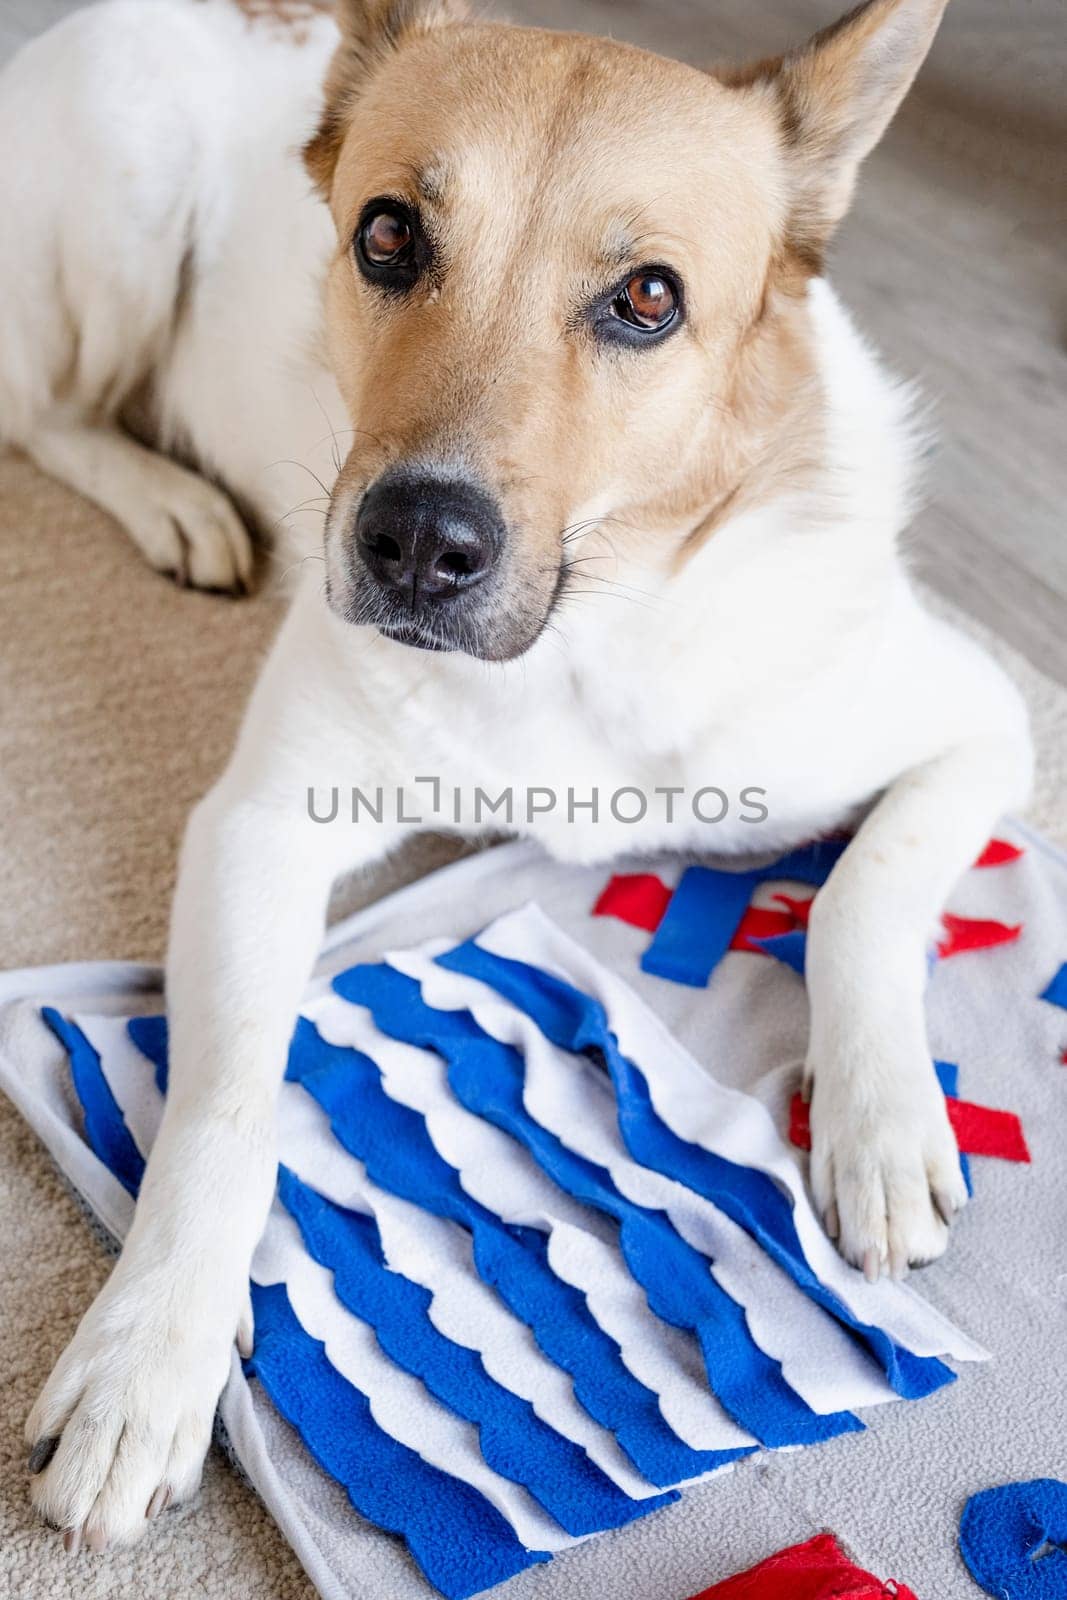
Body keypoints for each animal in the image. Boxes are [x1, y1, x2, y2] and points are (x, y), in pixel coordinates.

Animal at [2, 0, 1036, 1561]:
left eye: (648, 299)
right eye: (385, 236)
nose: (415, 544)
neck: (584, 636)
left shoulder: (987, 721)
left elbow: (860, 898)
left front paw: (876, 1122)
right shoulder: (257, 827)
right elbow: (227, 1106)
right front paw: (147, 1361)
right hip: (121, 224)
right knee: (48, 414)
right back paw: (175, 501)